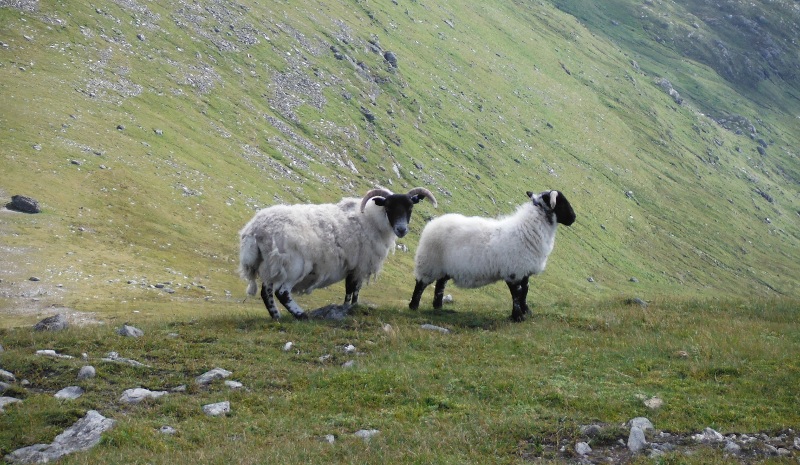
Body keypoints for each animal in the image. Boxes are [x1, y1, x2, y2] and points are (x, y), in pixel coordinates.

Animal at [239, 187, 438, 318]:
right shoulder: (359, 265)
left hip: (270, 264)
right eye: (389, 207)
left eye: (410, 208)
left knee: (266, 292)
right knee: (282, 292)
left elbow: (351, 290)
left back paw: (276, 317)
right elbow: (352, 290)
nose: (402, 229)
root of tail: (255, 230)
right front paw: (350, 308)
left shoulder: (354, 266)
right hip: (292, 265)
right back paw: (301, 315)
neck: (370, 219)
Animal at [406, 190, 576, 320]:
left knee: (440, 285)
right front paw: (517, 317)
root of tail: (432, 223)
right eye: (561, 203)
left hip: (445, 267)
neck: (527, 230)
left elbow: (525, 291)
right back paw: (413, 306)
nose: (574, 218)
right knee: (420, 284)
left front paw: (526, 312)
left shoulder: (524, 270)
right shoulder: (513, 272)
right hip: (429, 262)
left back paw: (438, 307)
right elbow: (517, 294)